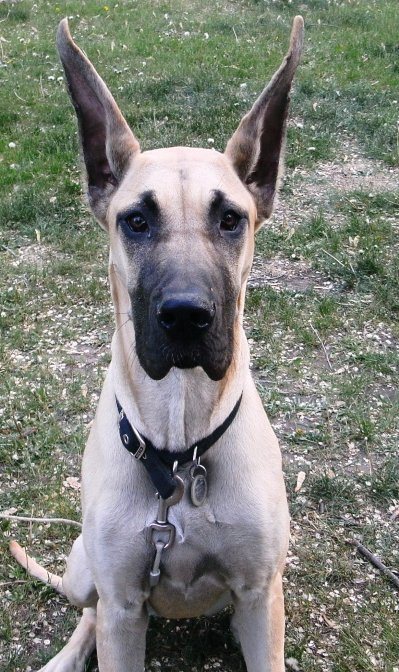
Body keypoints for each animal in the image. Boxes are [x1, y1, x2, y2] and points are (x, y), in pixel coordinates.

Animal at [10, 15, 304, 672]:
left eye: (231, 219)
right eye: (136, 221)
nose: (187, 317)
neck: (178, 448)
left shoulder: (261, 594)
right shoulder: (123, 605)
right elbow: (109, 618)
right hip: (85, 570)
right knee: (88, 614)